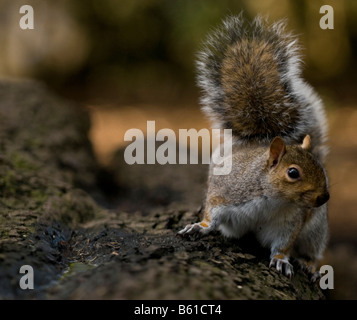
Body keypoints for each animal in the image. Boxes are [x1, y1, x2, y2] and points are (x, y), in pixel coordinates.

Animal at [177, 15, 328, 280]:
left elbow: (283, 244)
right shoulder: (226, 193)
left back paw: (309, 264)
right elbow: (212, 214)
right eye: (293, 173)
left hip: (316, 229)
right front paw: (200, 226)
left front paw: (281, 260)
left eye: (320, 166)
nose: (325, 196)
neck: (272, 199)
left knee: (312, 248)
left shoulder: (290, 221)